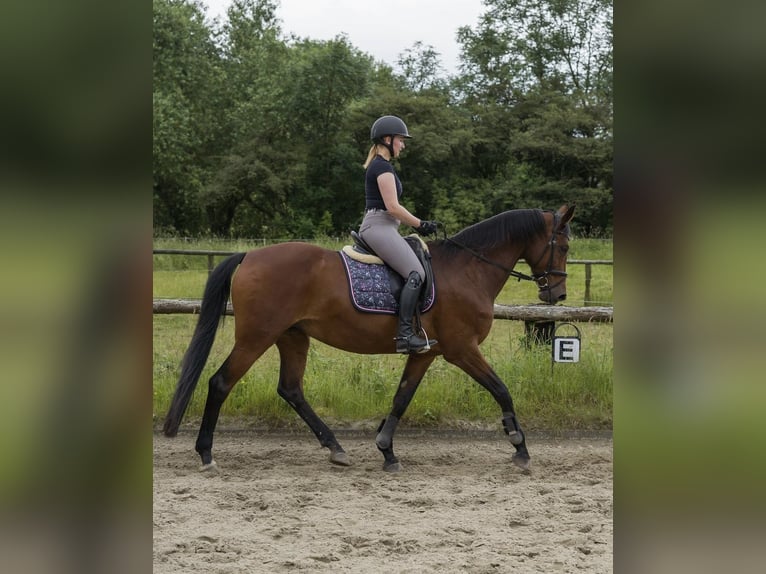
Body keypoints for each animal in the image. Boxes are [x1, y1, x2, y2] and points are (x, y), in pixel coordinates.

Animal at [162, 205, 576, 474]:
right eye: (564, 246)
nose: (557, 294)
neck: (468, 269)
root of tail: (249, 256)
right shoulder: (462, 349)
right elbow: (501, 389)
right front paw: (519, 446)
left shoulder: (426, 352)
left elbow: (401, 398)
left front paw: (387, 452)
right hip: (257, 335)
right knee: (221, 382)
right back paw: (206, 455)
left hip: (292, 336)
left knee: (291, 390)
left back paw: (336, 449)